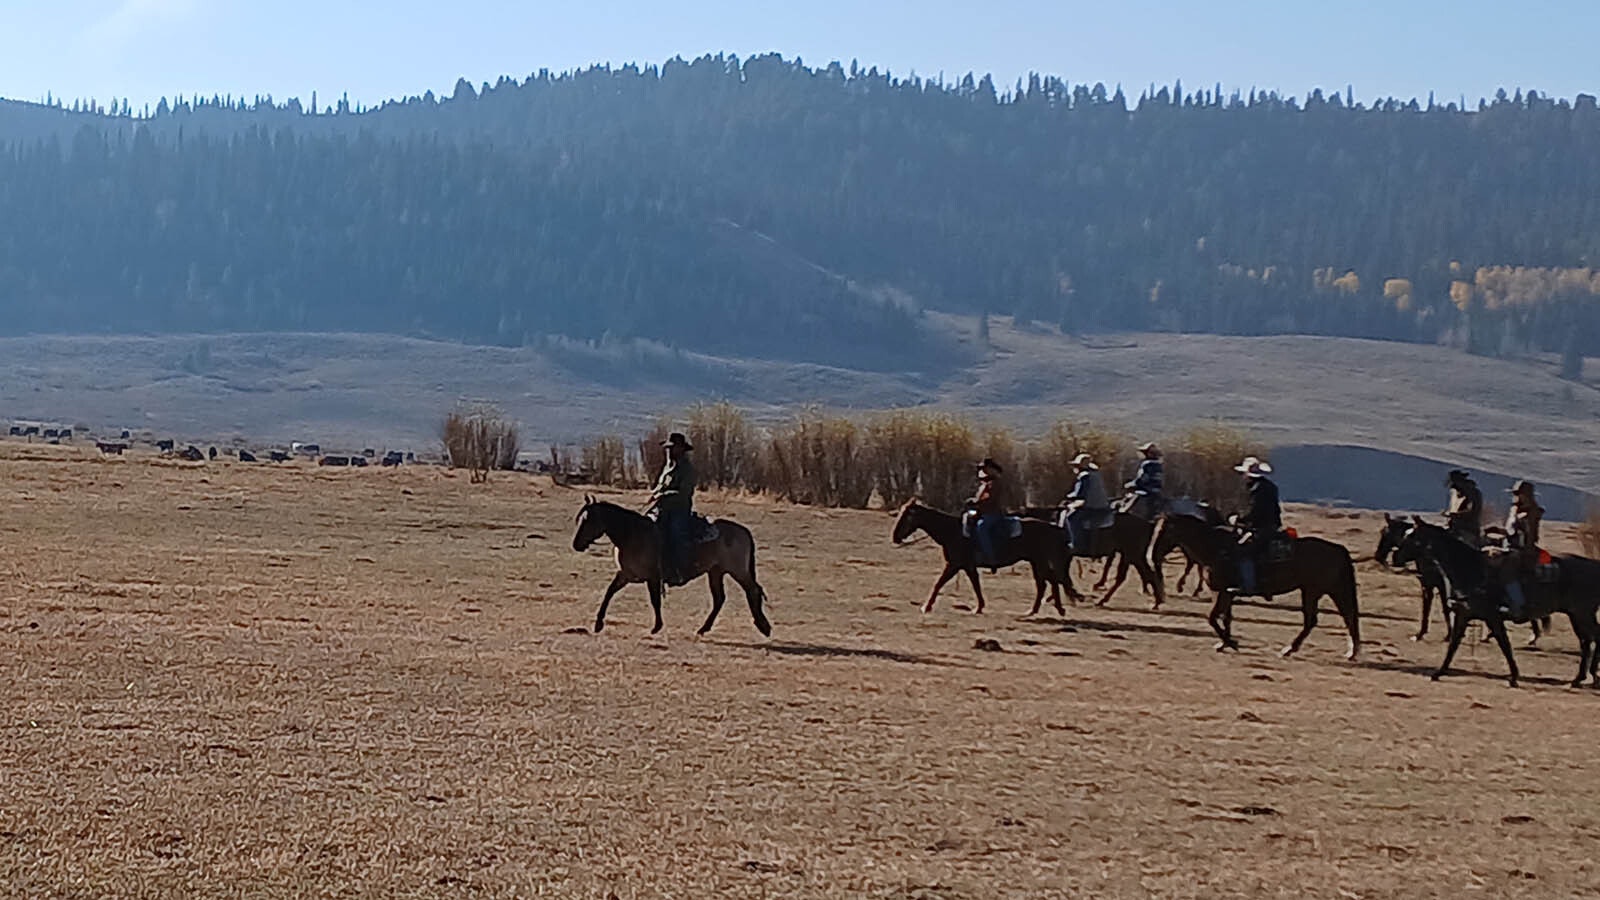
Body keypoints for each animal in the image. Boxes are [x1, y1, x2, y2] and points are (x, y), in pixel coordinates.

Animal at [572, 493, 771, 634]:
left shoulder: (653, 576)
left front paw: (657, 626)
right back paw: (703, 629)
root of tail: (744, 531)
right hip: (716, 572)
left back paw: (763, 626)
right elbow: (609, 592)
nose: (576, 544)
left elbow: (655, 600)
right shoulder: (626, 574)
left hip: (738, 570)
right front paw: (598, 624)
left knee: (753, 590)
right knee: (719, 599)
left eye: (588, 520)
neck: (632, 534)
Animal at [896, 496, 1081, 614]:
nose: (895, 537)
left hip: (1040, 561)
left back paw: (1053, 608)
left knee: (1050, 581)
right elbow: (975, 584)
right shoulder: (968, 566)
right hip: (1037, 562)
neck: (953, 531)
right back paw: (1039, 610)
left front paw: (926, 607)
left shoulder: (954, 565)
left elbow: (939, 583)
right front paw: (979, 607)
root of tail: (1052, 527)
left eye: (906, 516)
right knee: (1046, 582)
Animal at [1152, 512, 1363, 659]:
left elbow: (1212, 618)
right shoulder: (1223, 592)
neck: (1217, 549)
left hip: (1315, 590)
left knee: (1321, 619)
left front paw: (1231, 643)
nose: (1153, 555)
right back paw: (1349, 651)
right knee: (1343, 617)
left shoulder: (1224, 592)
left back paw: (1290, 649)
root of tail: (1338, 549)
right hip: (1325, 590)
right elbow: (1226, 617)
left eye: (1164, 532)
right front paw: (1224, 643)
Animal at [1388, 512, 1600, 685]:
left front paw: (1513, 677)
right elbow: (1454, 645)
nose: (1395, 558)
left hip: (1583, 614)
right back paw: (1579, 678)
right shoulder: (1464, 615)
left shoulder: (1492, 617)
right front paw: (1438, 672)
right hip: (1577, 616)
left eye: (1412, 537)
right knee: (1585, 642)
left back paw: (1590, 675)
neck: (1472, 570)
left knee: (1593, 638)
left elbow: (1504, 645)